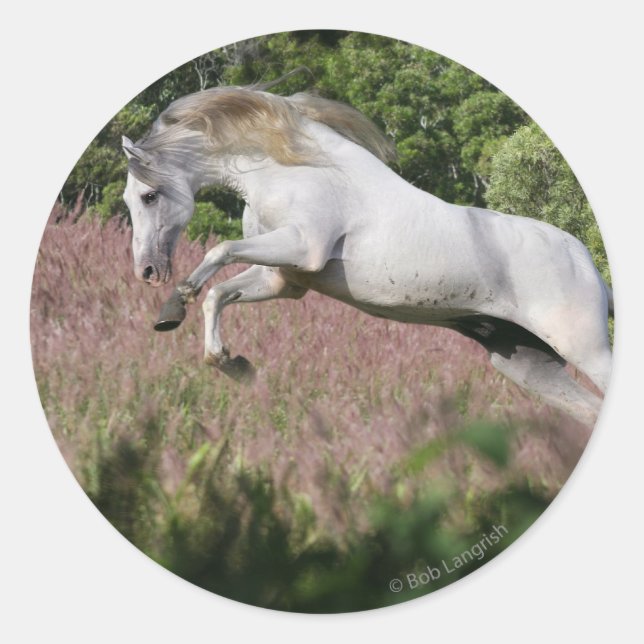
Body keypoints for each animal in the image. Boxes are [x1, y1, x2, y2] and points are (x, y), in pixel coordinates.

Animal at [121, 78, 613, 426]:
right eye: (130, 199)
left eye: (148, 196)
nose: (147, 270)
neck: (292, 169)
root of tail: (588, 265)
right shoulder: (284, 279)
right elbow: (218, 295)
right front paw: (229, 362)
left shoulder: (302, 247)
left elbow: (219, 252)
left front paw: (176, 305)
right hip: (529, 365)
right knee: (588, 414)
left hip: (582, 349)